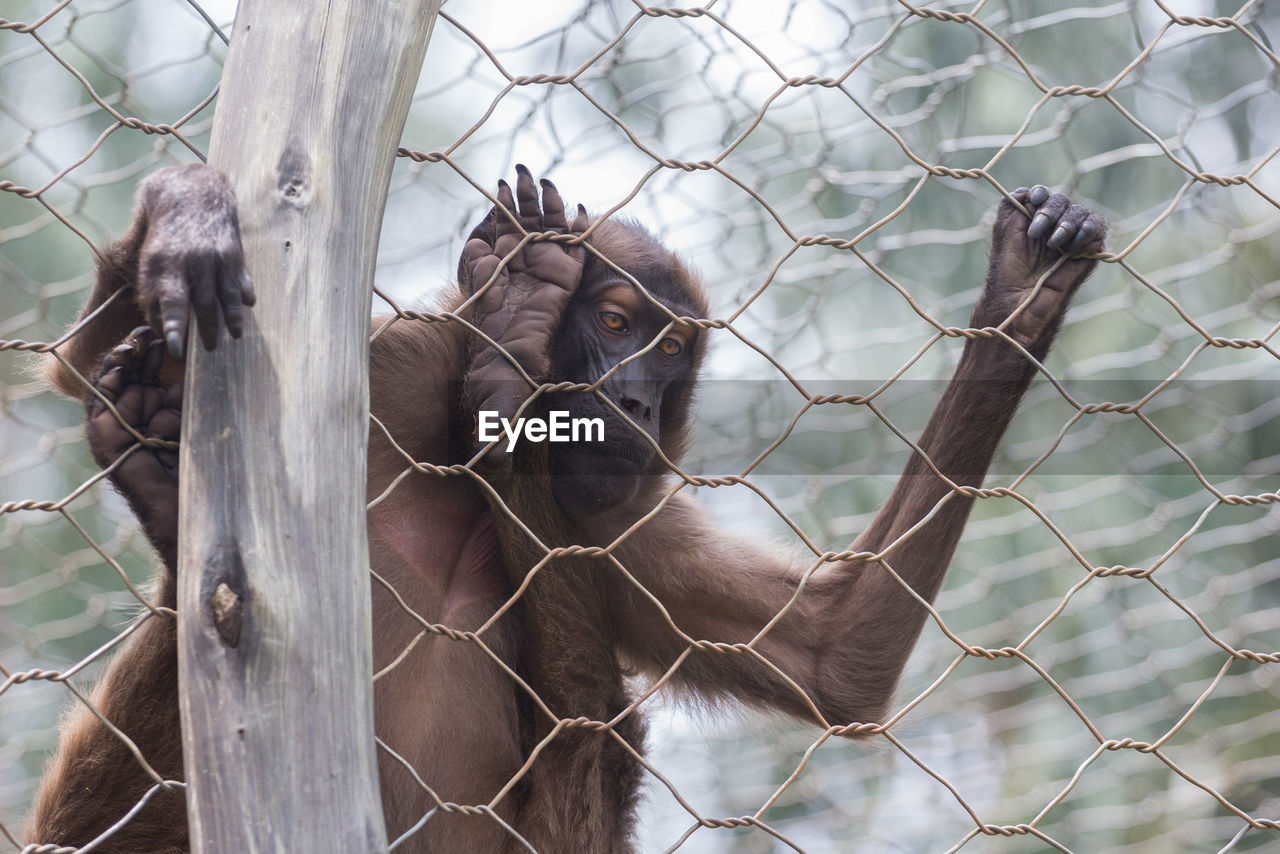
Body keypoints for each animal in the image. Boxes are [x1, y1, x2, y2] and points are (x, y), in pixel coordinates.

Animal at [27, 161, 1111, 854]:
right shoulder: (397, 373)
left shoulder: (614, 524)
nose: (635, 402)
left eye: (669, 350)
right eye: (618, 324)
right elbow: (78, 364)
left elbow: (835, 654)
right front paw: (185, 212)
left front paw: (1024, 293)